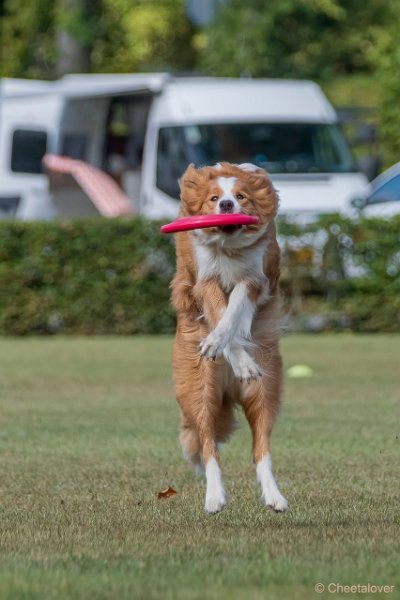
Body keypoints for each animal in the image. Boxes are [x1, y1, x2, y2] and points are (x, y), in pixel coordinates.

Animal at [172, 162, 288, 512]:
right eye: (213, 198)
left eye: (241, 196)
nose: (226, 206)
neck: (229, 249)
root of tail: (226, 387)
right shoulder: (204, 280)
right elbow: (221, 311)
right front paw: (227, 351)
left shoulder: (256, 279)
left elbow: (235, 308)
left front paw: (237, 356)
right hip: (200, 390)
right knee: (208, 442)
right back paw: (214, 497)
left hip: (266, 388)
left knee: (261, 446)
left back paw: (274, 496)